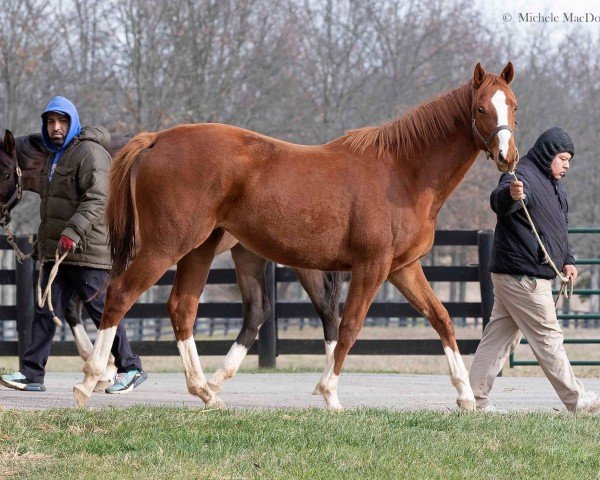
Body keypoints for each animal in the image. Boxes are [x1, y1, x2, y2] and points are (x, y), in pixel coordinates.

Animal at [0, 131, 342, 394]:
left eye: (3, 172)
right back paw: (217, 379)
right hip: (248, 253)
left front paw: (107, 370)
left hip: (297, 258)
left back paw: (325, 380)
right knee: (258, 310)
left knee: (326, 308)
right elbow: (69, 308)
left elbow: (88, 307)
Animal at [72, 62, 516, 410]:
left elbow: (441, 319)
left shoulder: (403, 268)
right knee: (120, 295)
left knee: (183, 308)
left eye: (512, 105)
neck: (402, 172)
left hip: (200, 249)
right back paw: (89, 380)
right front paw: (330, 393)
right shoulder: (372, 267)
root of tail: (156, 140)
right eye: (480, 108)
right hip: (166, 246)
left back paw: (205, 390)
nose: (507, 157)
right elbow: (350, 326)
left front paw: (465, 396)